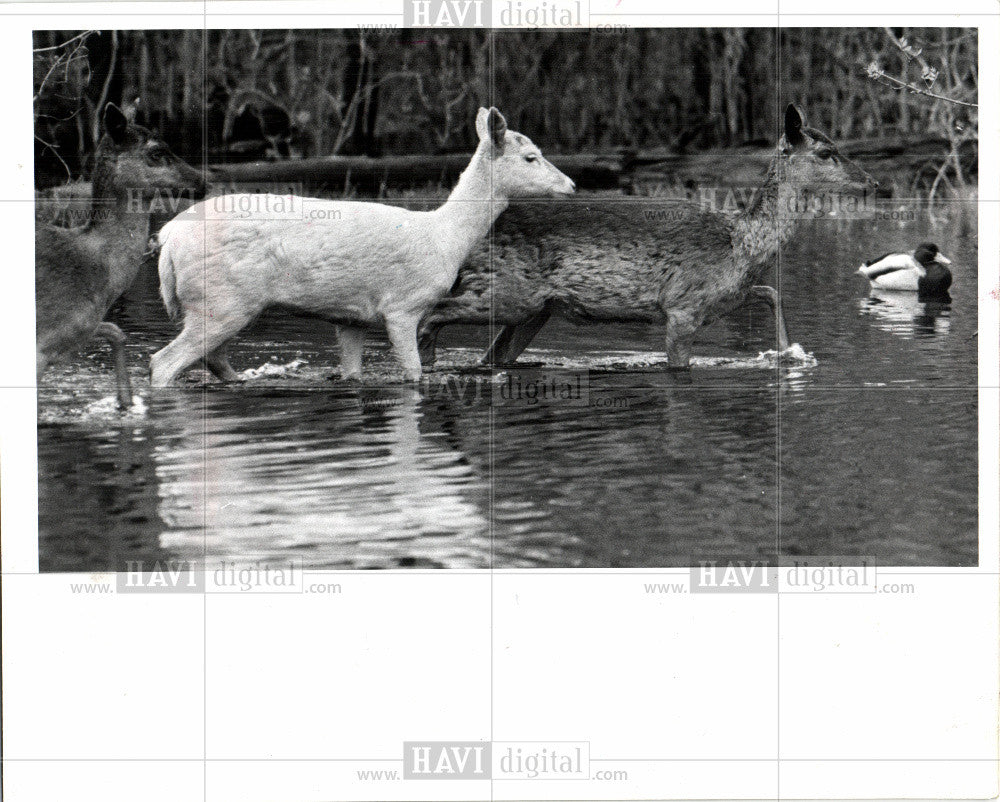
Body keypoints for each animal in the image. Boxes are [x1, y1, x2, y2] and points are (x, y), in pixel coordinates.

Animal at [147, 107, 572, 384]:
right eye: (531, 157)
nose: (570, 185)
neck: (445, 238)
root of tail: (169, 238)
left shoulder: (351, 317)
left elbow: (352, 373)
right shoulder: (403, 305)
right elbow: (414, 374)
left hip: (217, 303)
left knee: (213, 360)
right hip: (222, 299)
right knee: (164, 362)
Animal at [418, 103, 872, 368]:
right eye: (826, 153)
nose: (872, 182)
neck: (741, 246)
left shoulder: (726, 296)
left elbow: (772, 292)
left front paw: (790, 351)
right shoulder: (683, 306)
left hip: (533, 308)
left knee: (490, 356)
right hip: (506, 290)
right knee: (429, 315)